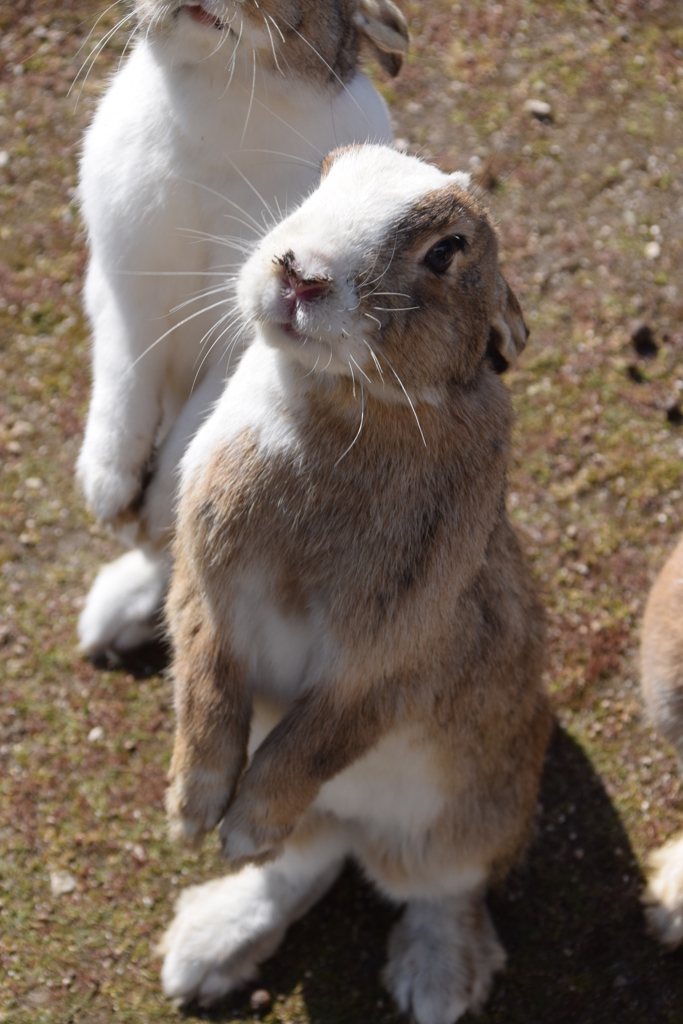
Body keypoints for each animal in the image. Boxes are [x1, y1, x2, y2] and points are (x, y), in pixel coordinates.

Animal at [76, 0, 405, 655]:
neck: (225, 87)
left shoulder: (245, 341)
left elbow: (197, 423)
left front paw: (150, 511)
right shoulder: (124, 298)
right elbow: (123, 383)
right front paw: (110, 496)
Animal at [158, 144, 548, 1024]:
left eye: (445, 251)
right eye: (324, 176)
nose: (298, 272)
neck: (340, 400)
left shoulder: (384, 665)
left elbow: (314, 737)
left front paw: (237, 824)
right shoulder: (205, 593)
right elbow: (204, 685)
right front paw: (193, 812)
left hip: (467, 814)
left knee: (439, 888)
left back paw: (434, 983)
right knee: (301, 866)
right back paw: (205, 947)